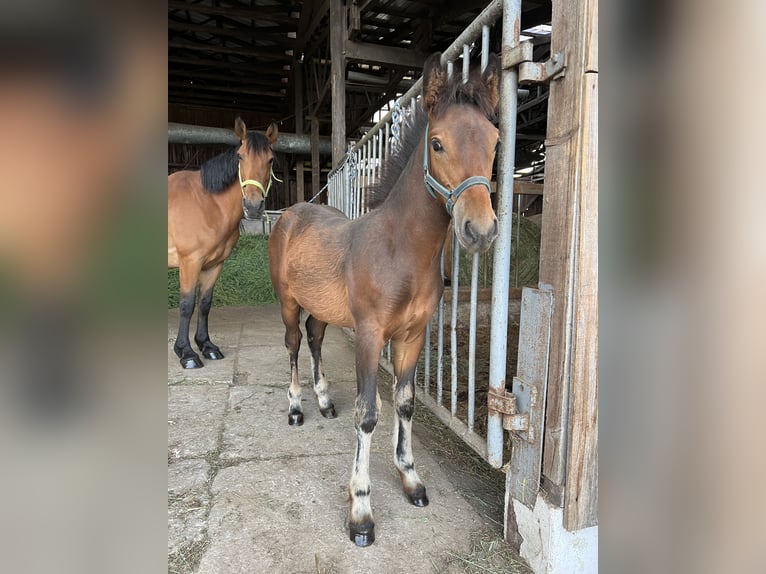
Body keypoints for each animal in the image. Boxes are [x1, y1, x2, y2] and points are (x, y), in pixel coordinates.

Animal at [168, 118, 278, 369]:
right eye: (240, 156)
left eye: (270, 159)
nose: (253, 206)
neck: (206, 203)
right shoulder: (190, 262)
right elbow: (187, 305)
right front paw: (186, 353)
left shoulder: (214, 264)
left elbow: (205, 303)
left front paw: (207, 346)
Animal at [268, 52, 500, 546]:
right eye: (437, 143)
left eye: (494, 141)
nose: (480, 230)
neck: (402, 252)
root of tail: (291, 213)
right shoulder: (371, 335)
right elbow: (368, 412)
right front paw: (360, 510)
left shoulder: (411, 336)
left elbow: (405, 403)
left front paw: (410, 478)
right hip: (289, 303)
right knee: (294, 344)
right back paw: (297, 408)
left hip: (323, 309)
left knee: (315, 339)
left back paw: (323, 402)